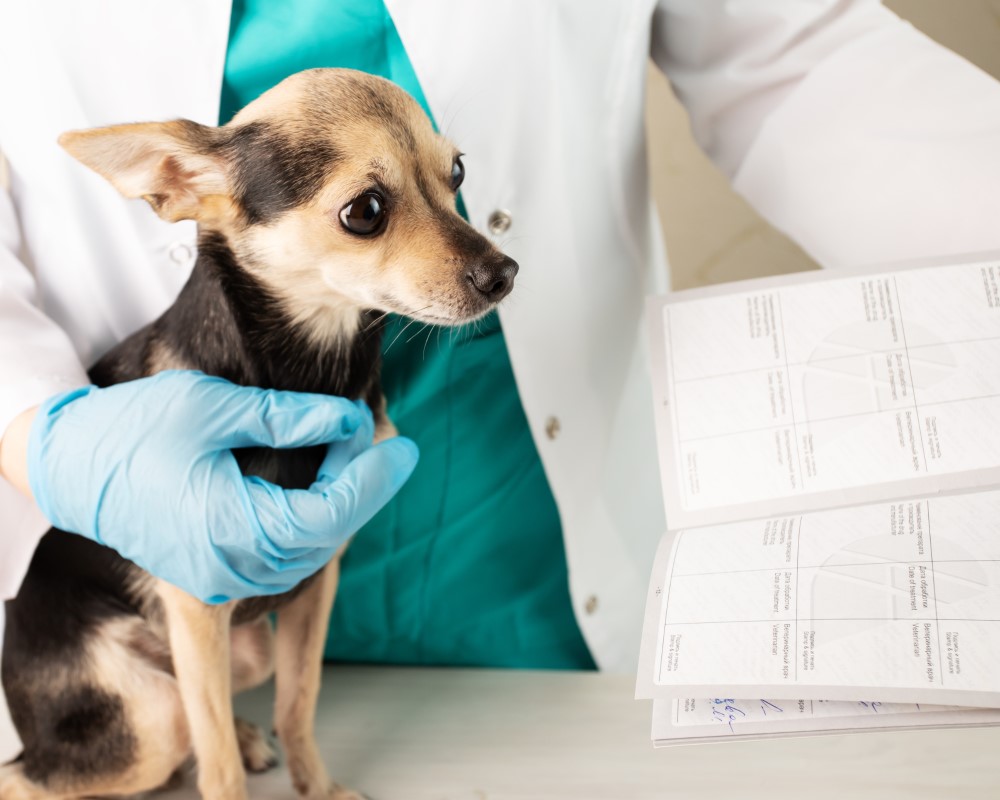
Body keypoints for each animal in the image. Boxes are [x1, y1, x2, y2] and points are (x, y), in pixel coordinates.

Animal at [0, 70, 516, 800]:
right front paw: (242, 770)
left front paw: (317, 787)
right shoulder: (196, 607)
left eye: (458, 172)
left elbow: (298, 701)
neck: (307, 373)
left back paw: (250, 737)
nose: (504, 273)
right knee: (53, 768)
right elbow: (216, 763)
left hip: (247, 652)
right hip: (150, 716)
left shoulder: (315, 585)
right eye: (365, 211)